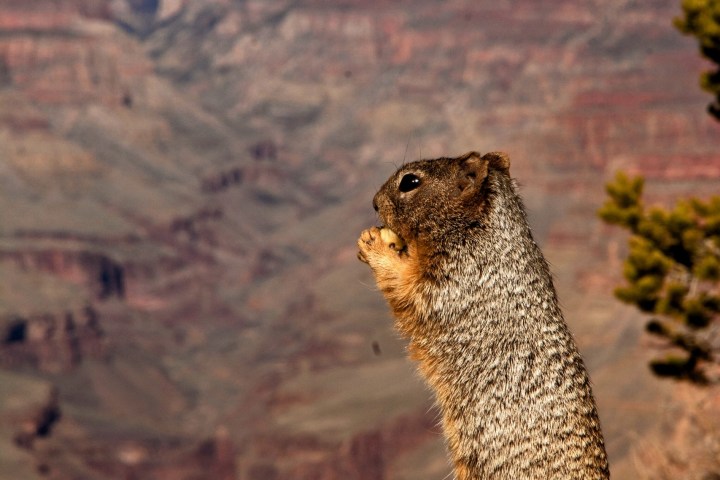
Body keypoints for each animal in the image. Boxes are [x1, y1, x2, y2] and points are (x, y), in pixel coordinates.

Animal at [357, 151, 609, 479]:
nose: (374, 202)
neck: (481, 228)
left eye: (410, 181)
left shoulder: (457, 272)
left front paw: (375, 243)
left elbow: (410, 287)